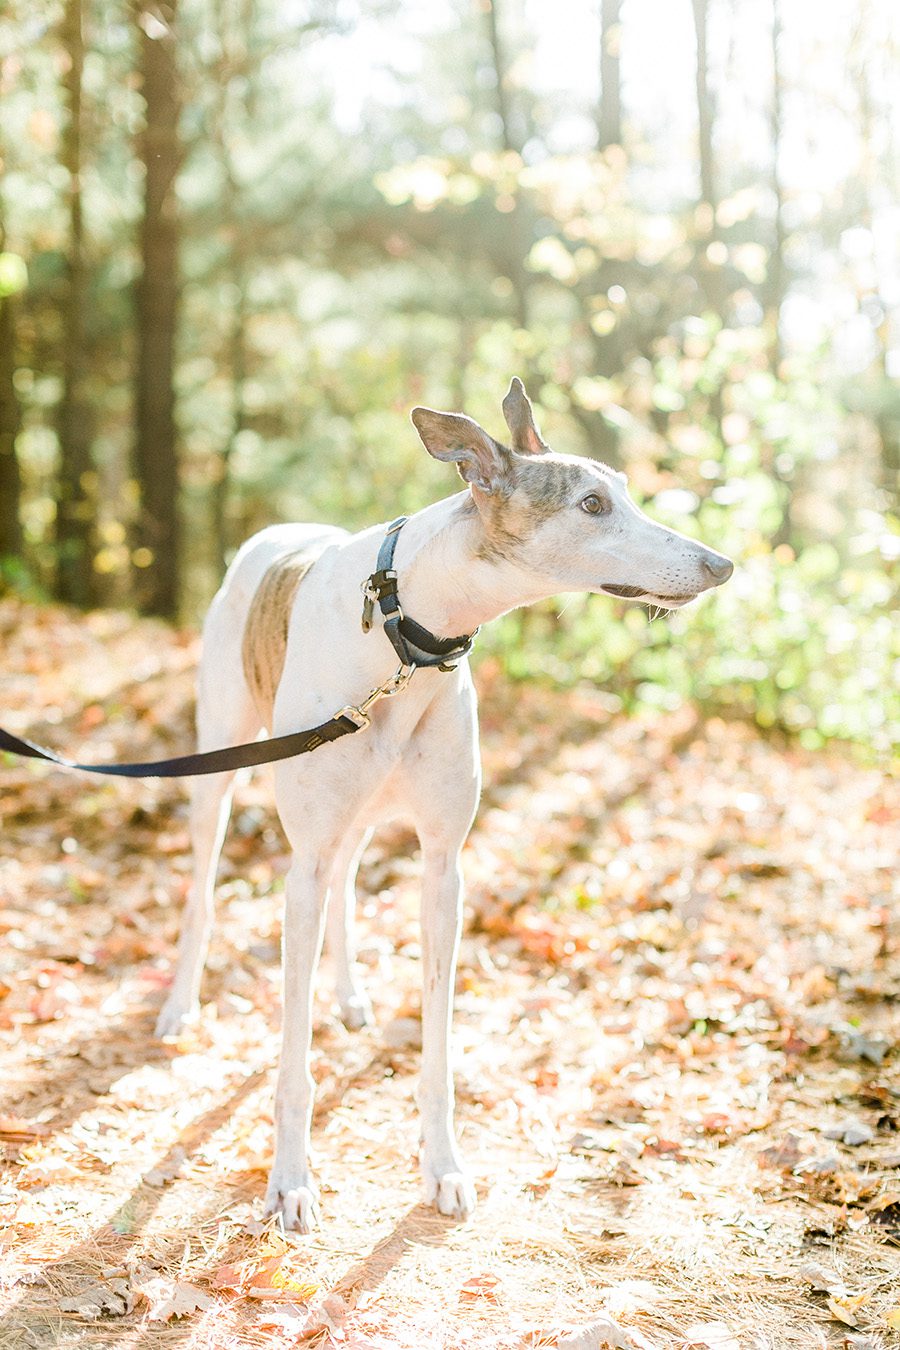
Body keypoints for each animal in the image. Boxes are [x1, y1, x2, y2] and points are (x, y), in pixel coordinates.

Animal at [155, 380, 734, 1236]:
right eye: (593, 504)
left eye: (623, 491)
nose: (721, 563)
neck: (406, 632)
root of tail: (274, 533)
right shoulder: (305, 860)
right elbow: (292, 1056)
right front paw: (289, 1181)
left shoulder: (442, 867)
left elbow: (436, 1042)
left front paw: (443, 1166)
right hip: (219, 768)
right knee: (202, 892)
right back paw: (180, 1005)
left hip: (359, 817)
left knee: (346, 886)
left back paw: (350, 996)